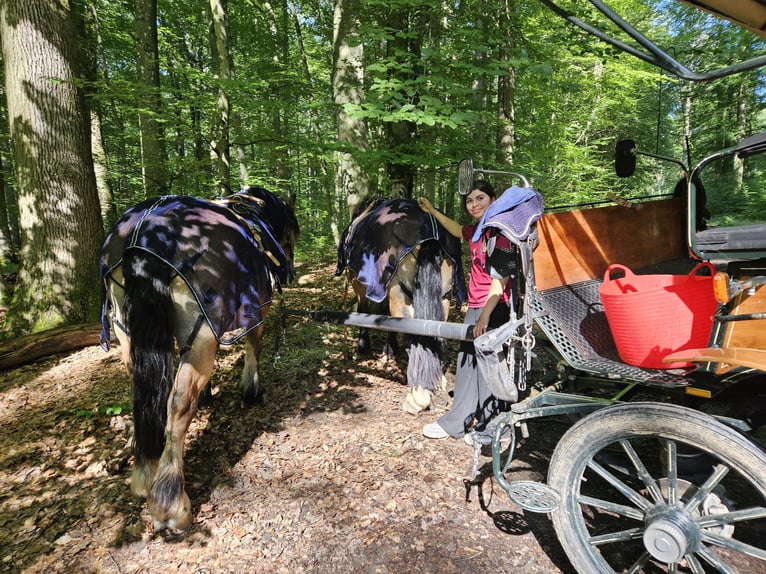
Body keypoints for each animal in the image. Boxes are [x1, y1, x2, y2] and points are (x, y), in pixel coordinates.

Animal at [97, 187, 300, 532]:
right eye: (291, 236)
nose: (289, 270)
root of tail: (146, 233)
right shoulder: (256, 308)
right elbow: (254, 346)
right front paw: (252, 390)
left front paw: (208, 395)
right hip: (202, 330)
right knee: (178, 404)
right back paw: (169, 499)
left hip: (126, 330)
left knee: (144, 393)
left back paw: (140, 463)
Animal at [338, 197, 468, 414]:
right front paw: (390, 349)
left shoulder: (362, 284)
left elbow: (365, 311)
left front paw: (364, 346)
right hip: (443, 297)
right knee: (437, 329)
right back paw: (437, 380)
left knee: (409, 327)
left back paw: (418, 393)